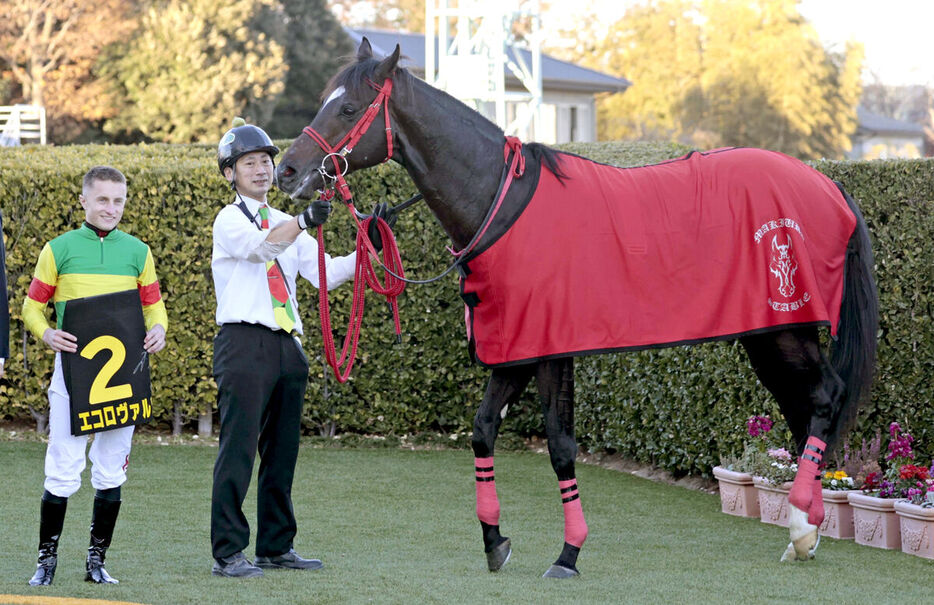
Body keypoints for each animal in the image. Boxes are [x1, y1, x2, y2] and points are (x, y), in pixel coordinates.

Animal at [276, 39, 876, 576]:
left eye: (347, 108)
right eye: (325, 101)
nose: (287, 170)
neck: (501, 203)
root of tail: (830, 186)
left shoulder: (550, 350)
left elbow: (561, 446)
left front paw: (568, 553)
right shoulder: (514, 351)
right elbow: (482, 430)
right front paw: (495, 541)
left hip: (786, 327)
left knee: (826, 398)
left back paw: (802, 528)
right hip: (767, 334)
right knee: (804, 409)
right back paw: (805, 532)